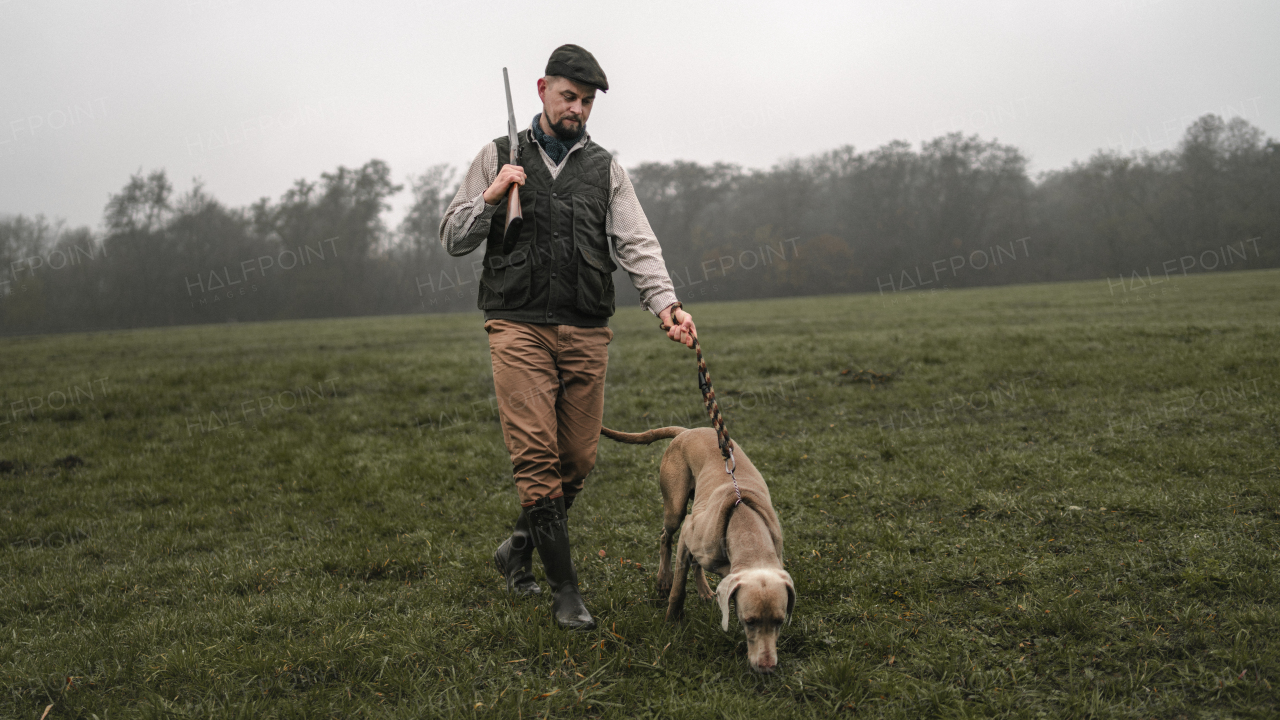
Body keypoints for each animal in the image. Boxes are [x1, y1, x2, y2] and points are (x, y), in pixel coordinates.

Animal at [596, 422, 788, 671]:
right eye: (750, 621)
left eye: (779, 621)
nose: (767, 666)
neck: (745, 522)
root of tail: (687, 431)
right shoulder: (688, 530)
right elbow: (678, 588)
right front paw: (672, 620)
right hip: (676, 507)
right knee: (665, 538)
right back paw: (663, 579)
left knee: (695, 560)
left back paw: (705, 591)